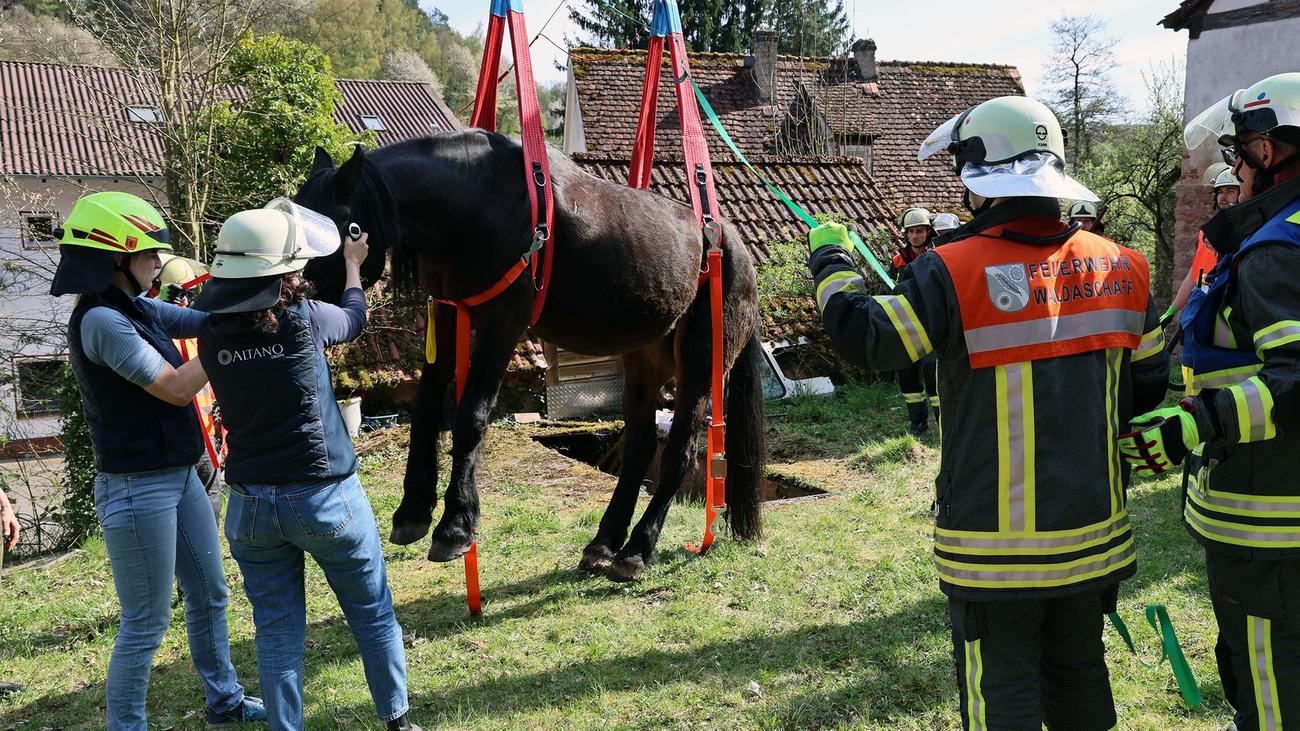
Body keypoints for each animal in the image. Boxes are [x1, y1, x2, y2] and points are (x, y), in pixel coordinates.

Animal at [296, 129, 765, 582]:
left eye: (333, 229)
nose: (295, 294)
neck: (474, 202)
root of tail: (733, 247)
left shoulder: (503, 319)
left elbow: (470, 417)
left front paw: (455, 526)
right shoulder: (446, 312)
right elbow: (426, 409)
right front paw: (413, 509)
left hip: (700, 366)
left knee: (680, 451)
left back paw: (637, 549)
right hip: (643, 361)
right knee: (639, 447)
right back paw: (604, 543)